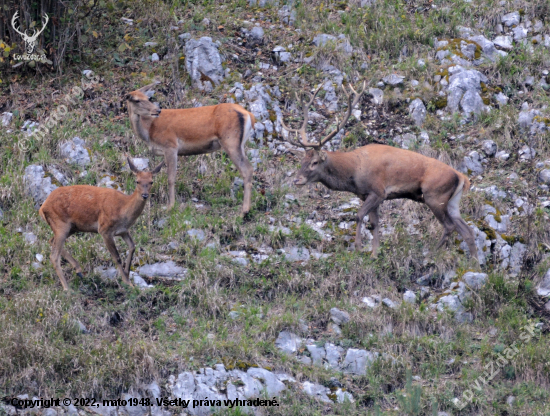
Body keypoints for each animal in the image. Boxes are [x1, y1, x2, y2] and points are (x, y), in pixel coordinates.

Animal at [39, 158, 164, 290]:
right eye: (137, 181)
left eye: (151, 181)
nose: (145, 195)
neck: (123, 210)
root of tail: (42, 208)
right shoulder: (105, 229)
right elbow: (117, 257)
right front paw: (127, 282)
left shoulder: (123, 230)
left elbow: (132, 247)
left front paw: (127, 275)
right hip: (61, 223)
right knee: (54, 256)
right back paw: (67, 288)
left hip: (71, 227)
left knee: (51, 240)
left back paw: (79, 270)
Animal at [126, 83, 256, 216]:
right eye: (137, 100)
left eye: (148, 98)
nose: (157, 110)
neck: (149, 131)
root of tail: (249, 115)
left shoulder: (171, 145)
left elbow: (171, 178)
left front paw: (170, 206)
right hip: (240, 144)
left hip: (230, 140)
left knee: (247, 169)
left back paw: (244, 211)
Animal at [282, 82, 480, 260]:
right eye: (302, 161)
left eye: (314, 162)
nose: (297, 180)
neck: (354, 172)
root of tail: (462, 177)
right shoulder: (368, 195)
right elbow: (375, 223)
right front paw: (374, 254)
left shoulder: (378, 191)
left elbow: (359, 216)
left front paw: (358, 247)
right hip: (452, 201)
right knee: (467, 230)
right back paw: (475, 263)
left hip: (435, 195)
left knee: (450, 226)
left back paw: (431, 253)